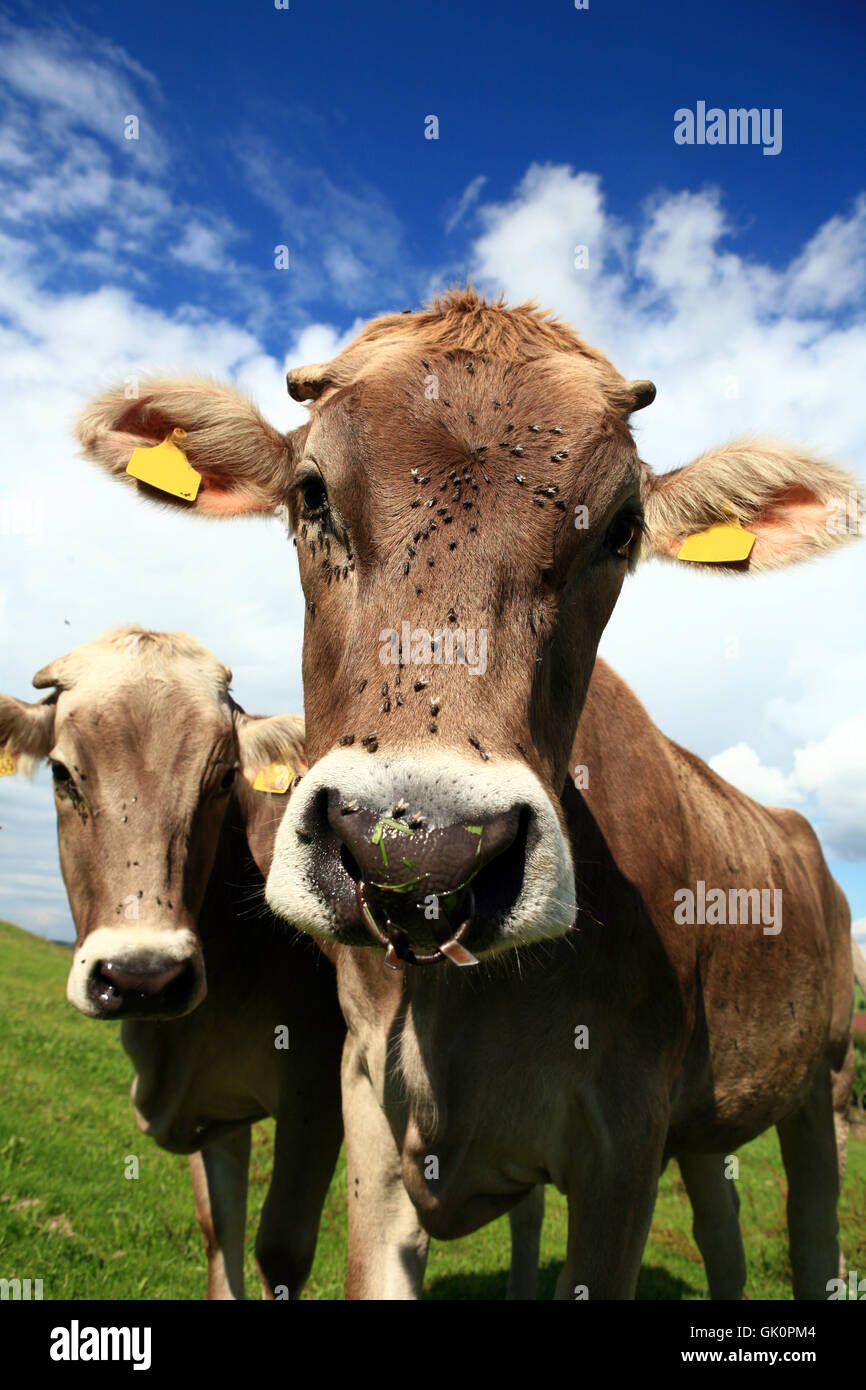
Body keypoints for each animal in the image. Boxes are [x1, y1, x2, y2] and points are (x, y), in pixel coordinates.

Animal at [0, 631, 346, 1301]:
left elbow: (281, 1251)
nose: (143, 978)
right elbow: (219, 1229)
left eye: (224, 779)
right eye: (60, 773)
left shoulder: (318, 1090)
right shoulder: (211, 1106)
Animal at [77, 293, 861, 1301]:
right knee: (721, 1220)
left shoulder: (623, 1150)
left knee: (815, 1235)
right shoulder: (365, 1115)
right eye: (311, 493)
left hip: (824, 1089)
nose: (421, 848)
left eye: (620, 530)